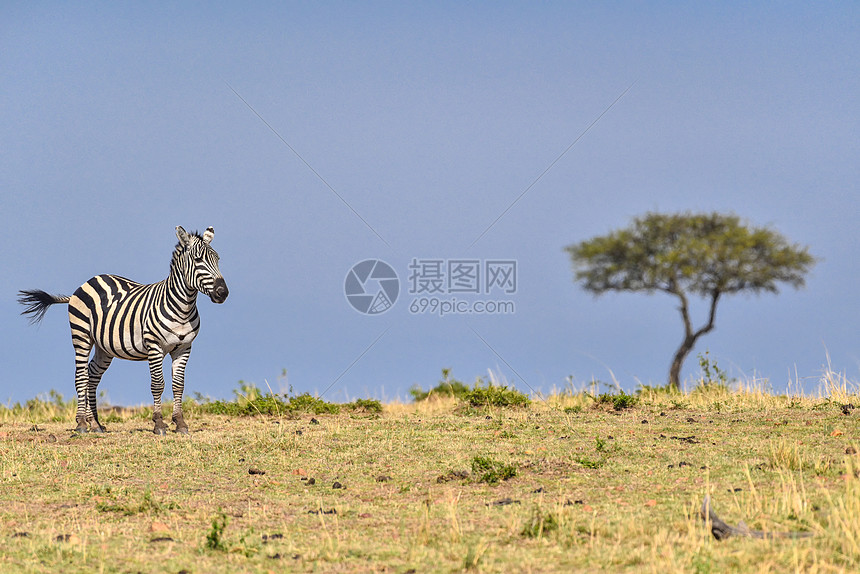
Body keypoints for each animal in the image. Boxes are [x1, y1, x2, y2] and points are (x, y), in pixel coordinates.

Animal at [20, 227, 228, 434]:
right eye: (198, 260)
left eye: (218, 259)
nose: (223, 293)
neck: (183, 308)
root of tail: (88, 282)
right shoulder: (154, 346)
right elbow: (157, 384)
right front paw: (159, 423)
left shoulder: (184, 347)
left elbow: (178, 385)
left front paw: (180, 423)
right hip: (81, 336)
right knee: (81, 376)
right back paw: (81, 424)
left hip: (104, 347)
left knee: (92, 376)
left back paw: (95, 424)